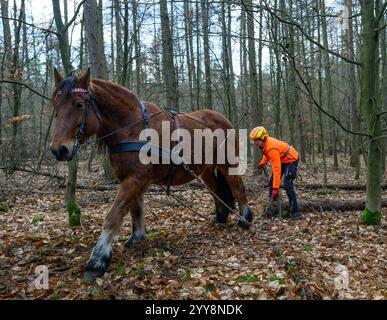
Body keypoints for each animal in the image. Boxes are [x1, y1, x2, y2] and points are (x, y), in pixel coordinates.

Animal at [50, 69, 253, 278]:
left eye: (79, 104)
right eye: (55, 104)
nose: (59, 150)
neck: (132, 126)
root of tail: (223, 119)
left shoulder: (135, 180)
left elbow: (113, 217)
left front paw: (98, 258)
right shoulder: (131, 178)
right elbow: (135, 209)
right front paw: (136, 238)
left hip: (227, 163)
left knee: (238, 186)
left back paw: (245, 219)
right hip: (205, 169)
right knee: (216, 191)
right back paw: (220, 219)